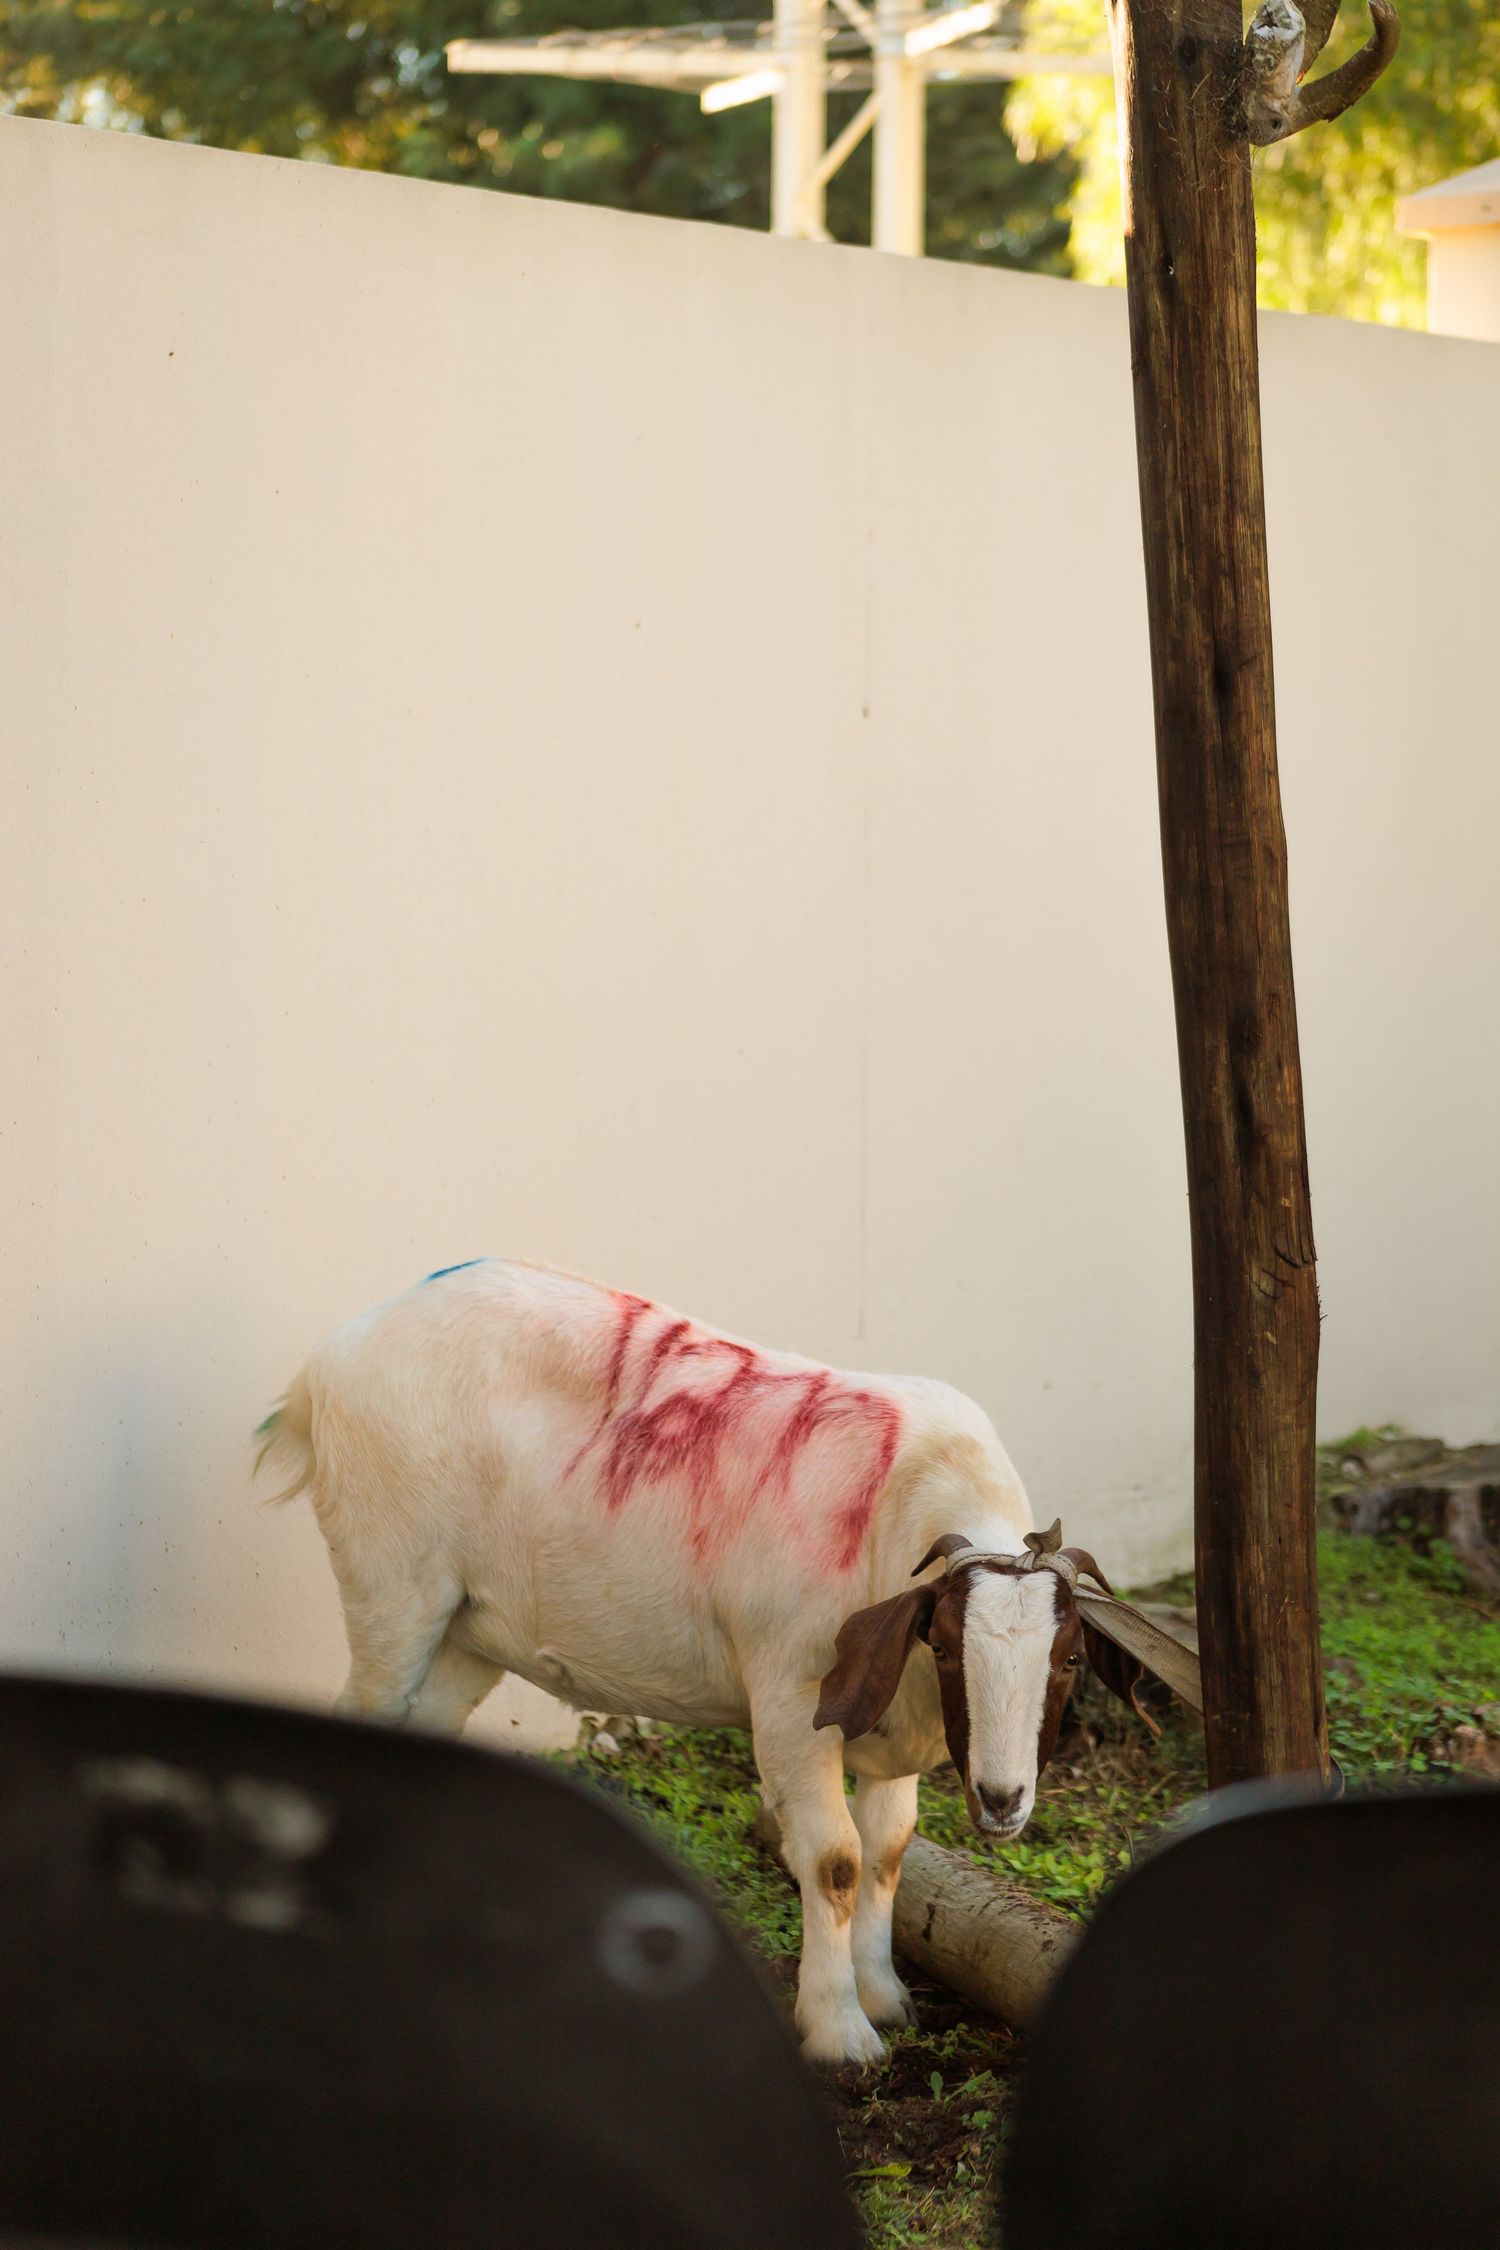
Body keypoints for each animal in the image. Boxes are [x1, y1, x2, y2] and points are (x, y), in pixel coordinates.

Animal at [257, 1257, 1143, 2066]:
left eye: (1070, 1658)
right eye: (951, 1646)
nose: (1002, 1800)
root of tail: (338, 1350)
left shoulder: (892, 1725)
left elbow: (889, 1851)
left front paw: (884, 1996)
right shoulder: (790, 1701)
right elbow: (836, 1861)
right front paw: (840, 2035)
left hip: (471, 1627)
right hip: (392, 1583)